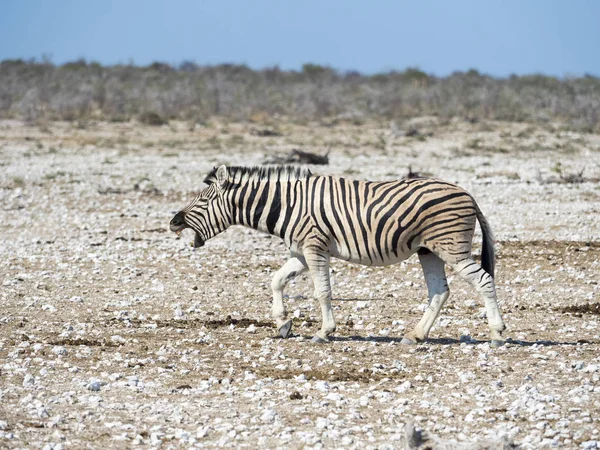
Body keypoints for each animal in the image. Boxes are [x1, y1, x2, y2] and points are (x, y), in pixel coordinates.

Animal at [169, 167, 506, 346]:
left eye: (202, 201)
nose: (173, 222)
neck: (286, 206)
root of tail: (468, 193)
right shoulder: (300, 252)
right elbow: (276, 281)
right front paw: (283, 322)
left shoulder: (315, 247)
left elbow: (322, 292)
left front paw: (324, 331)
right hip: (428, 250)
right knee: (439, 291)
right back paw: (416, 335)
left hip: (450, 246)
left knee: (483, 280)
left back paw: (497, 334)